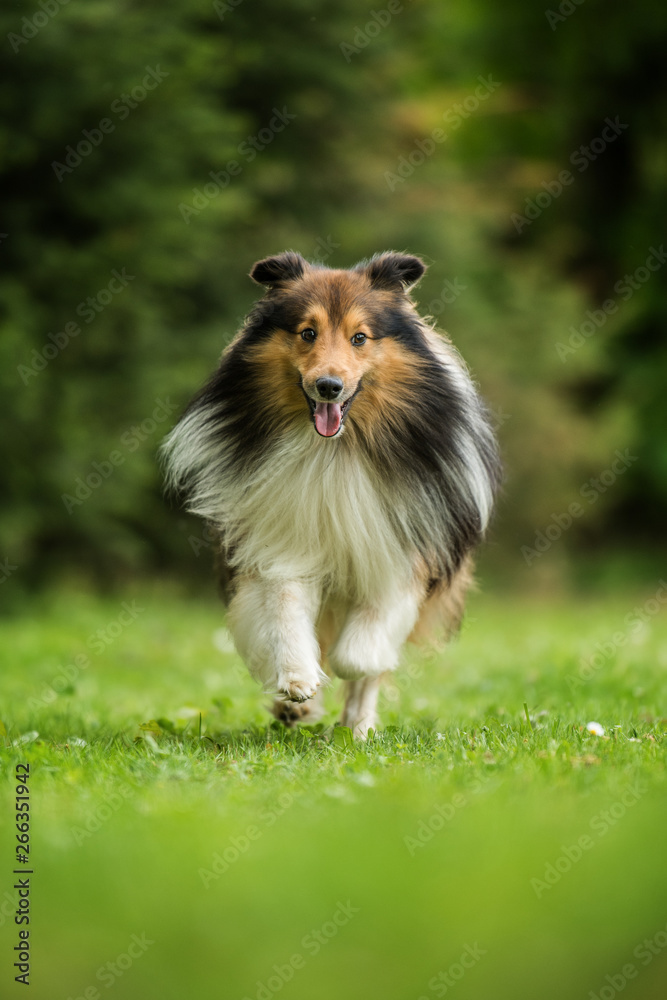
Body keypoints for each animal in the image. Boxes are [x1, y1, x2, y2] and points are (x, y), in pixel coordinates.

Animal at [162, 252, 498, 736]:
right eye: (307, 332)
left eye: (360, 337)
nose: (328, 387)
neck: (334, 452)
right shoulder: (282, 542)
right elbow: (285, 613)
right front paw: (298, 681)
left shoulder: (399, 555)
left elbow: (359, 657)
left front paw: (345, 678)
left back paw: (358, 727)